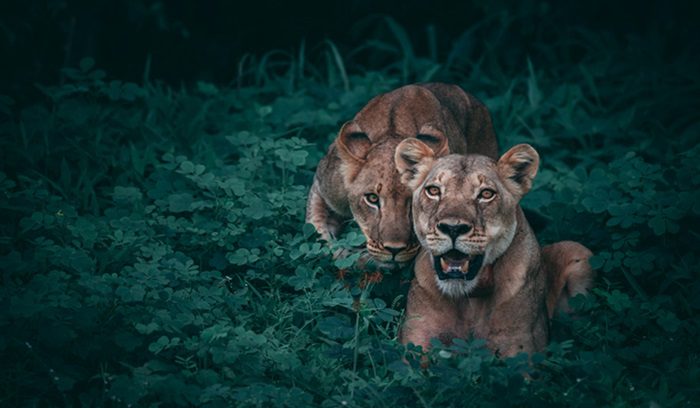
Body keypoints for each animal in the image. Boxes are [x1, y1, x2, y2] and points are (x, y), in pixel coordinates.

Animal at [394, 139, 594, 357]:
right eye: (433, 191)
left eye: (486, 194)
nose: (453, 228)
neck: (469, 298)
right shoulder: (417, 339)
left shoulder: (519, 346)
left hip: (578, 250)